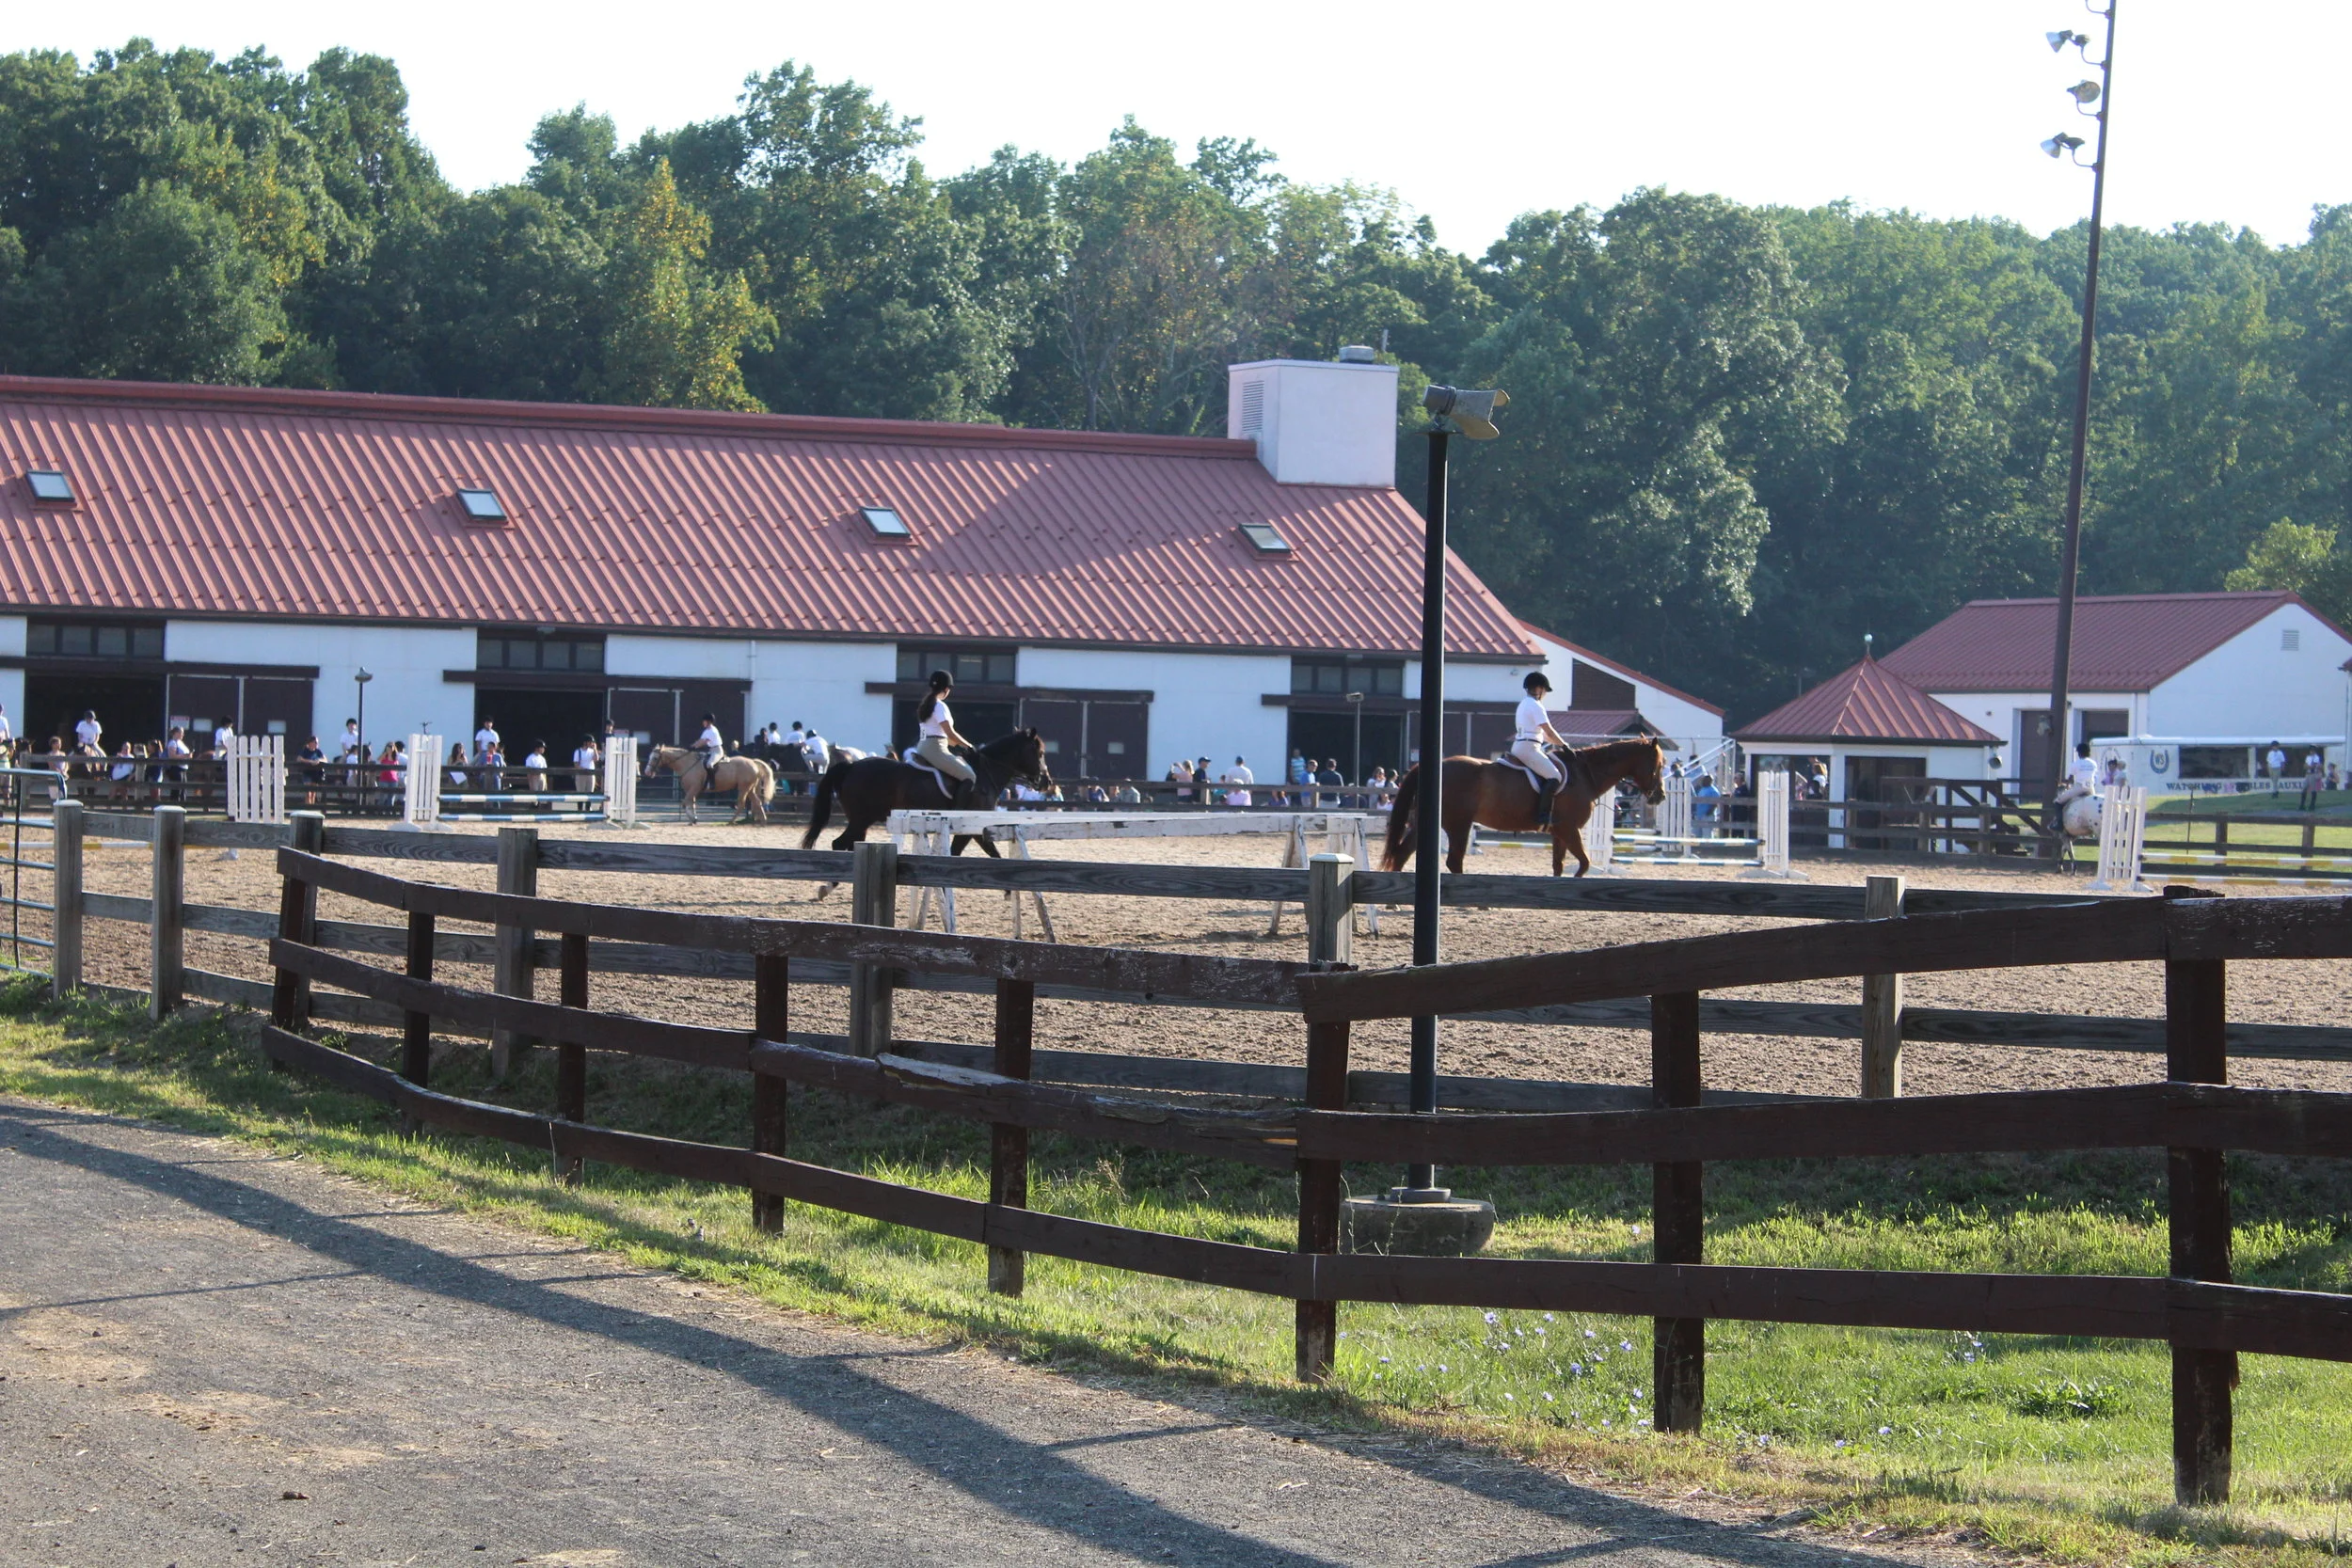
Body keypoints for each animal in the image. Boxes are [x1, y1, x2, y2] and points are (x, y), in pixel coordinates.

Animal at [641, 746, 778, 824]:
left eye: (655, 758)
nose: (647, 772)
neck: (687, 764)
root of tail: (753, 762)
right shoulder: (692, 790)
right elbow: (692, 804)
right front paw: (693, 819)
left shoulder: (693, 788)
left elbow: (685, 804)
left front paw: (692, 819)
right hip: (750, 789)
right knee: (757, 802)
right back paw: (763, 821)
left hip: (743, 788)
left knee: (741, 804)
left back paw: (731, 821)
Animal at [801, 729, 1051, 862]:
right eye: (1039, 753)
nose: (1047, 782)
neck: (986, 772)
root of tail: (851, 766)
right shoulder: (971, 825)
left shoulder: (974, 827)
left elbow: (986, 852)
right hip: (861, 818)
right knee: (839, 843)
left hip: (862, 820)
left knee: (850, 844)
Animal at [1382, 737, 1668, 878]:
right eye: (1659, 764)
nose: (1660, 796)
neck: (1585, 774)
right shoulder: (1570, 829)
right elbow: (1584, 864)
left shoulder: (1559, 833)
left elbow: (1559, 866)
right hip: (1458, 826)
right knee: (1453, 861)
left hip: (1430, 824)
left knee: (1403, 853)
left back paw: (1394, 902)